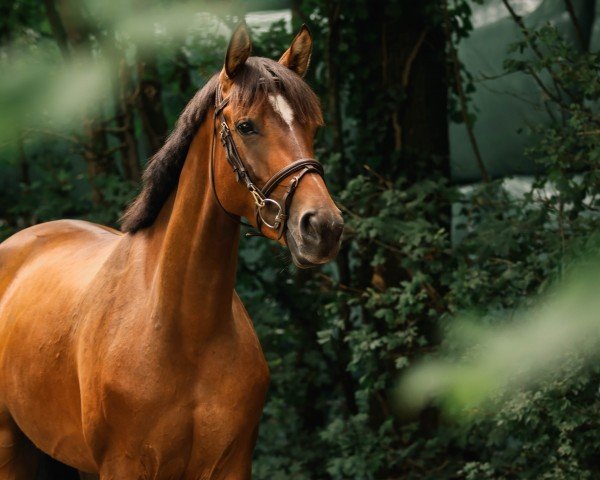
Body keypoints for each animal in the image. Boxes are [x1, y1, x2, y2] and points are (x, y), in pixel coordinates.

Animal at [0, 25, 342, 480]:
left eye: (312, 127)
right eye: (247, 126)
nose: (322, 227)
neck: (183, 329)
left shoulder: (232, 465)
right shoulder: (124, 467)